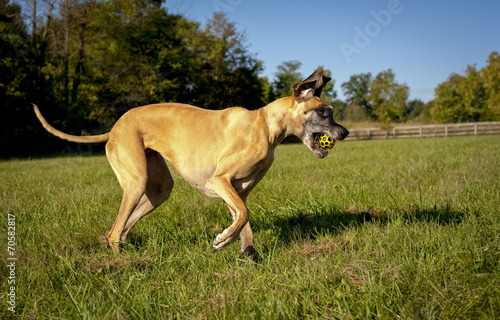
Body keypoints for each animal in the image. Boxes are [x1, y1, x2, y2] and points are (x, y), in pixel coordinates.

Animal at [33, 68, 350, 258]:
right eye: (323, 112)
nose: (345, 133)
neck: (264, 124)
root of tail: (115, 127)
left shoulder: (239, 191)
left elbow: (243, 220)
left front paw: (247, 253)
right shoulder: (219, 181)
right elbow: (243, 215)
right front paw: (222, 240)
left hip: (158, 189)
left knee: (124, 228)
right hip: (136, 182)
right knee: (113, 232)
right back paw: (120, 264)